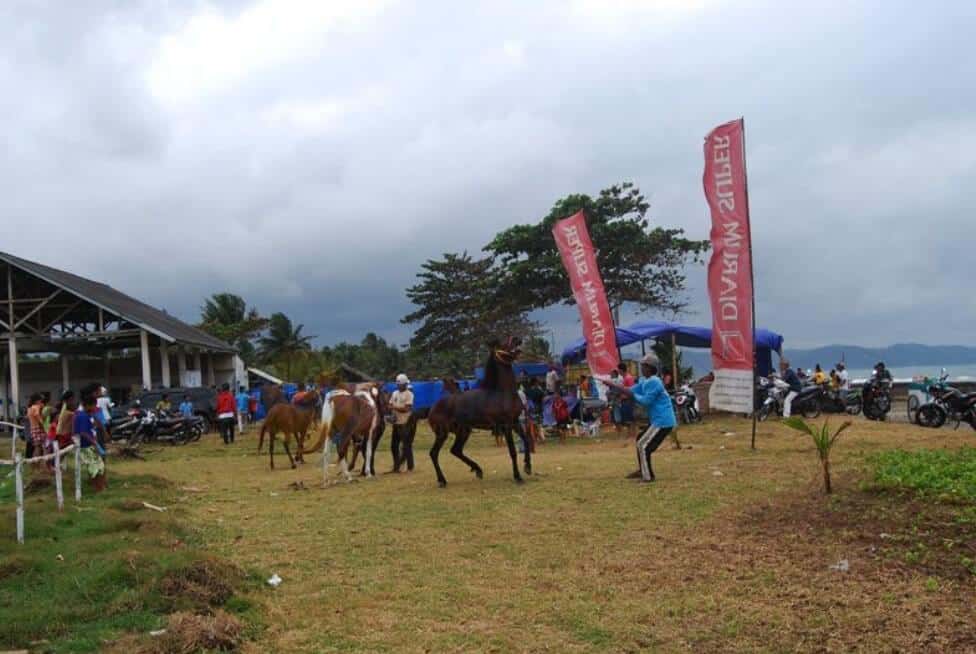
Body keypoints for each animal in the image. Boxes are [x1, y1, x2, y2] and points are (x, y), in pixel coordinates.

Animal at [428, 338, 532, 486]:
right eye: (502, 344)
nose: (518, 339)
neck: (502, 393)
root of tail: (433, 408)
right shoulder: (506, 425)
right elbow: (512, 451)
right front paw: (518, 477)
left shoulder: (515, 422)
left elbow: (527, 440)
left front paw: (527, 467)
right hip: (442, 434)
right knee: (434, 453)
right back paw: (442, 480)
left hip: (463, 431)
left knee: (456, 450)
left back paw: (477, 469)